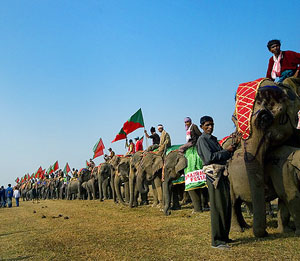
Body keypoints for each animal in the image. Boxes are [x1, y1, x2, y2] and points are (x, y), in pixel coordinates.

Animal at [231, 76, 300, 236]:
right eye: (234, 120)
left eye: (264, 118)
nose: (265, 234)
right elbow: (288, 193)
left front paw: (286, 231)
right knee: (233, 203)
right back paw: (240, 230)